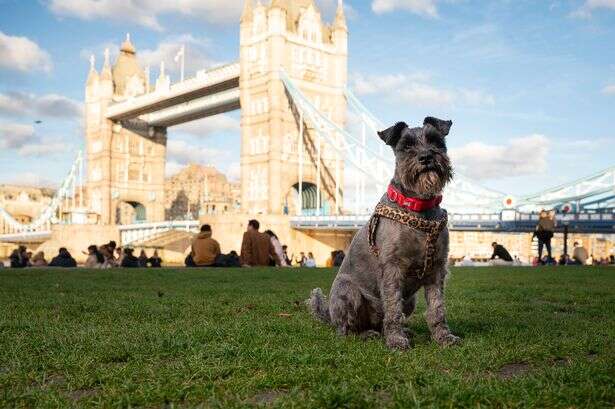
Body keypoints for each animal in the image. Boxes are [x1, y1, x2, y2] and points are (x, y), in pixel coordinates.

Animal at [310, 116, 460, 350]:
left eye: (436, 141)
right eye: (406, 146)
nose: (426, 157)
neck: (417, 207)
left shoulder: (436, 269)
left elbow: (437, 309)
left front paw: (443, 336)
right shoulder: (392, 268)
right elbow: (392, 309)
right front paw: (396, 340)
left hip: (410, 300)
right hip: (348, 292)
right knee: (345, 330)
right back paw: (366, 334)